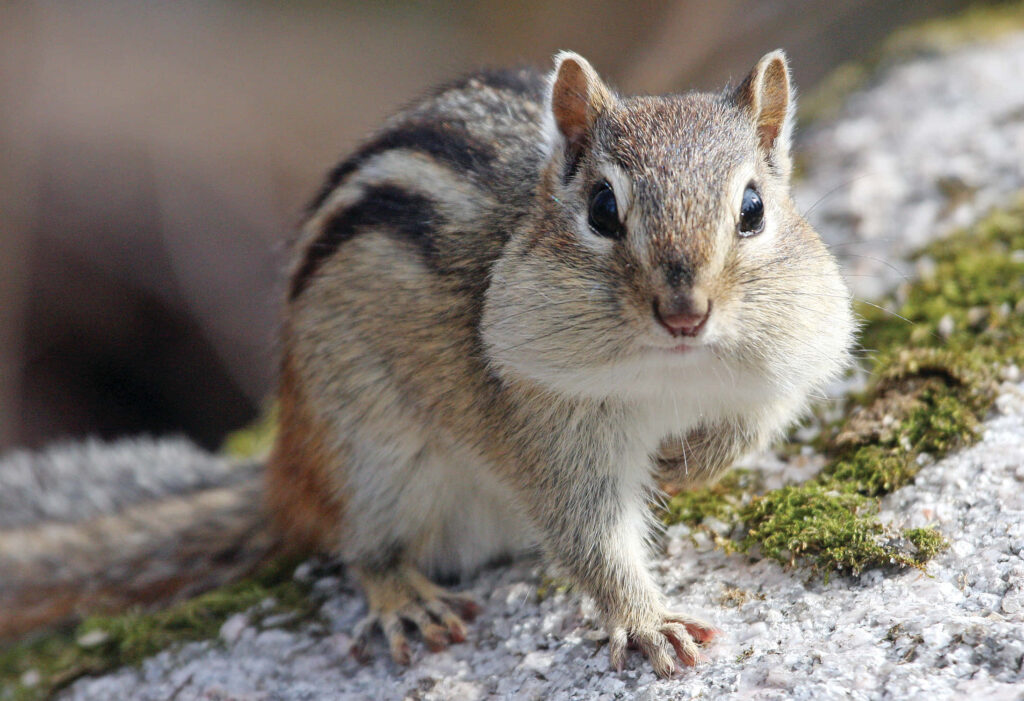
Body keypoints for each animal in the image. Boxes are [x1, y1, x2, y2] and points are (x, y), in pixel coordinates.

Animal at [0, 50, 853, 678]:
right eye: (604, 210)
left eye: (753, 208)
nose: (684, 313)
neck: (672, 373)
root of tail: (289, 472)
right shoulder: (543, 418)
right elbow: (590, 534)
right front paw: (648, 621)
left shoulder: (788, 359)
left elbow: (755, 424)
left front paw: (689, 461)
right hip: (369, 448)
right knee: (360, 544)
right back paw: (403, 595)